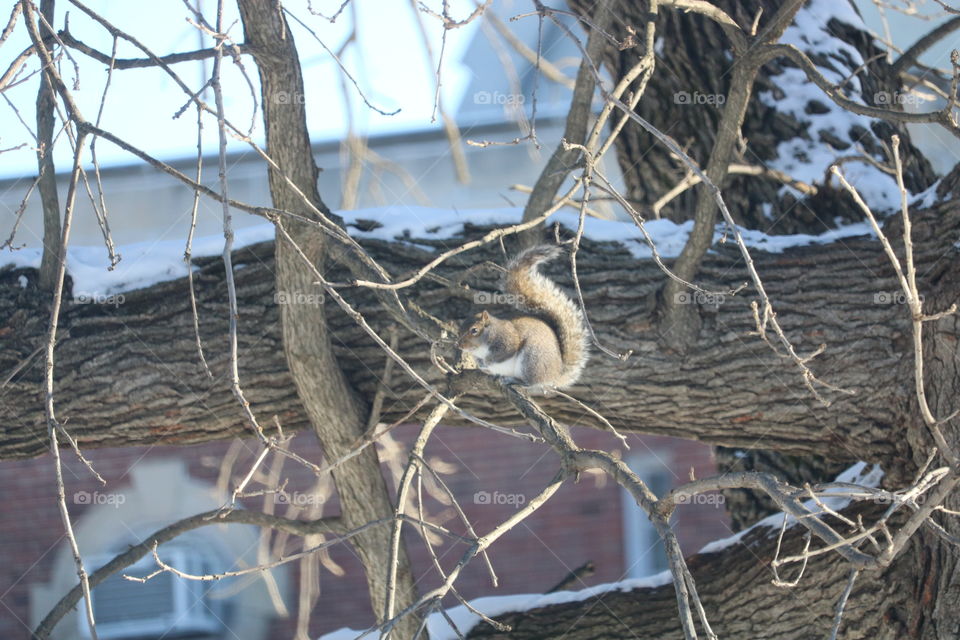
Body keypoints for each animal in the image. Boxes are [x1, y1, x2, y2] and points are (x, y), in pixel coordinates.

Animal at [457, 245, 589, 390]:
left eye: (474, 330)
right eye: (459, 329)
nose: (459, 345)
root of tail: (555, 375)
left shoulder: (507, 340)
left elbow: (503, 353)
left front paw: (487, 361)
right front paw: (481, 364)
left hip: (532, 360)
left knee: (532, 383)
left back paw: (515, 380)